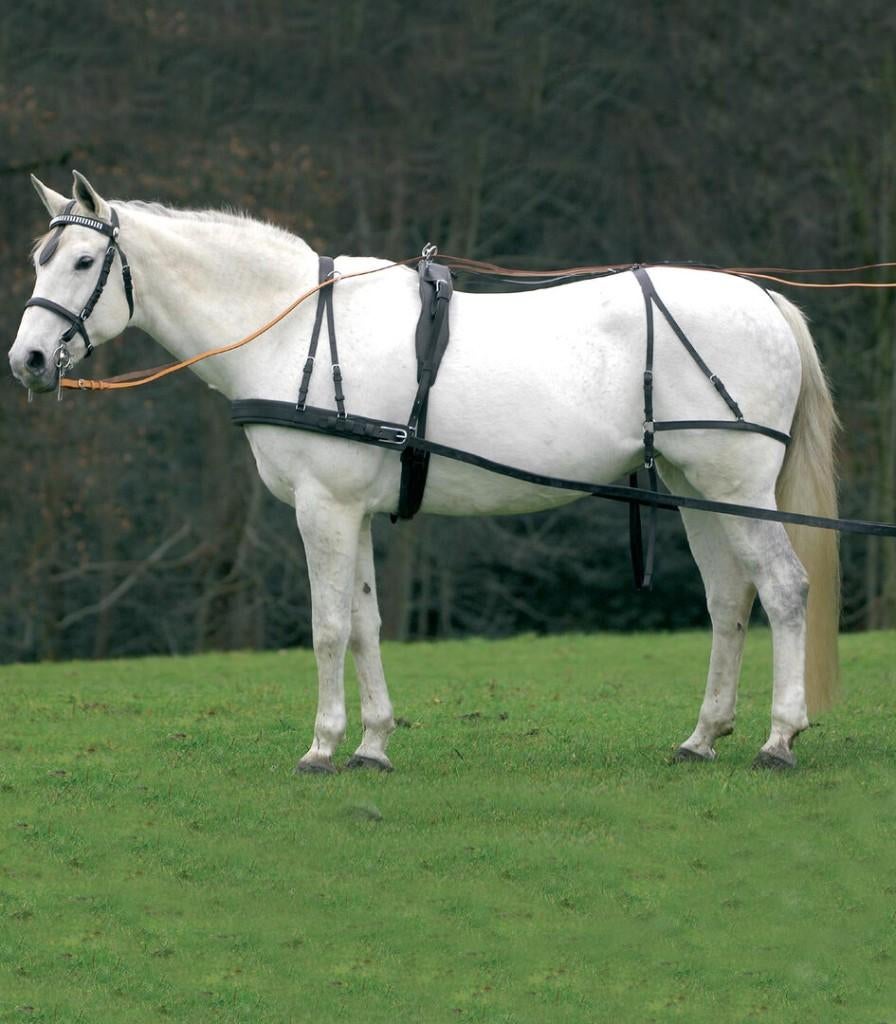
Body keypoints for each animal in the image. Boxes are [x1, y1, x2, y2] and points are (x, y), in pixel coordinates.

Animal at [8, 171, 840, 772]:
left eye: (84, 261)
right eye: (39, 261)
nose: (27, 360)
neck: (293, 329)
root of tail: (763, 298)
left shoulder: (323, 507)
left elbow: (328, 626)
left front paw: (321, 746)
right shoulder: (354, 511)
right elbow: (366, 625)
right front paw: (373, 745)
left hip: (737, 489)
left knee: (785, 590)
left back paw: (779, 738)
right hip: (701, 492)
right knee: (730, 600)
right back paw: (703, 736)